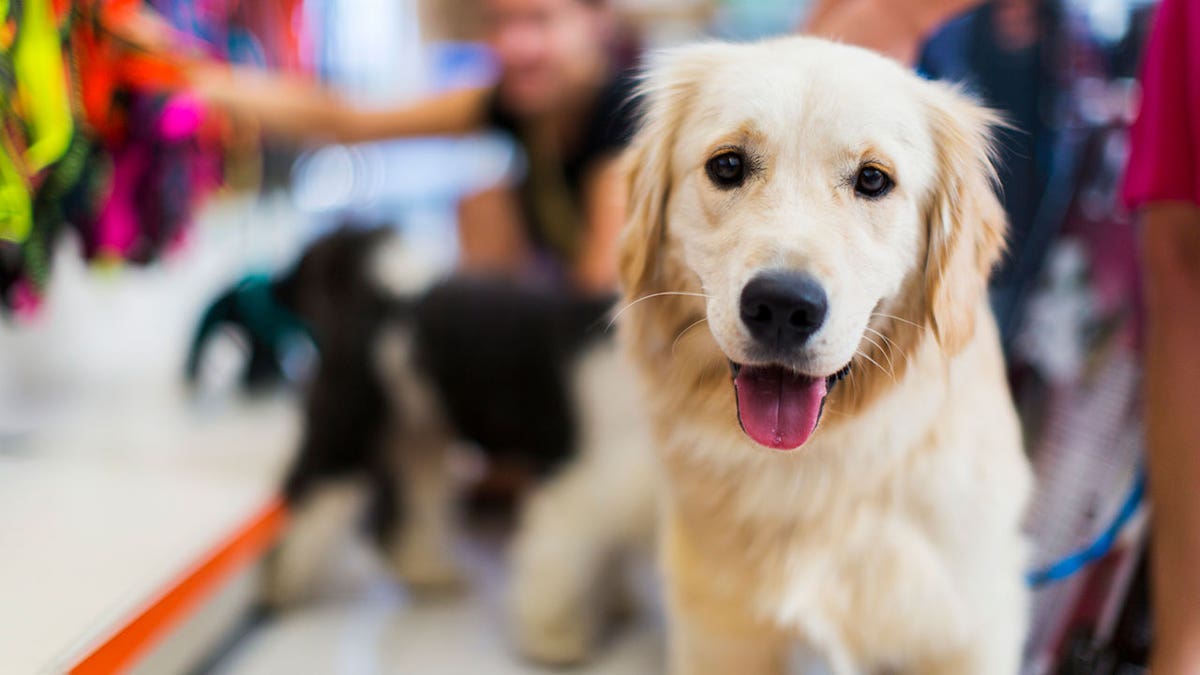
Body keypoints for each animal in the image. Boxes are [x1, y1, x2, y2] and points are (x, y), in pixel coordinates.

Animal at [267, 227, 657, 662]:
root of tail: (389, 296)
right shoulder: (578, 483)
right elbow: (557, 566)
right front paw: (555, 639)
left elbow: (607, 553)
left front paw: (616, 601)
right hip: (347, 431)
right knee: (307, 495)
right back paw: (281, 584)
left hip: (418, 439)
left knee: (403, 516)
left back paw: (427, 571)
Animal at [619, 38, 1032, 672]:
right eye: (727, 166)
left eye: (873, 179)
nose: (782, 306)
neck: (815, 471)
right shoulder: (717, 629)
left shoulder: (967, 626)